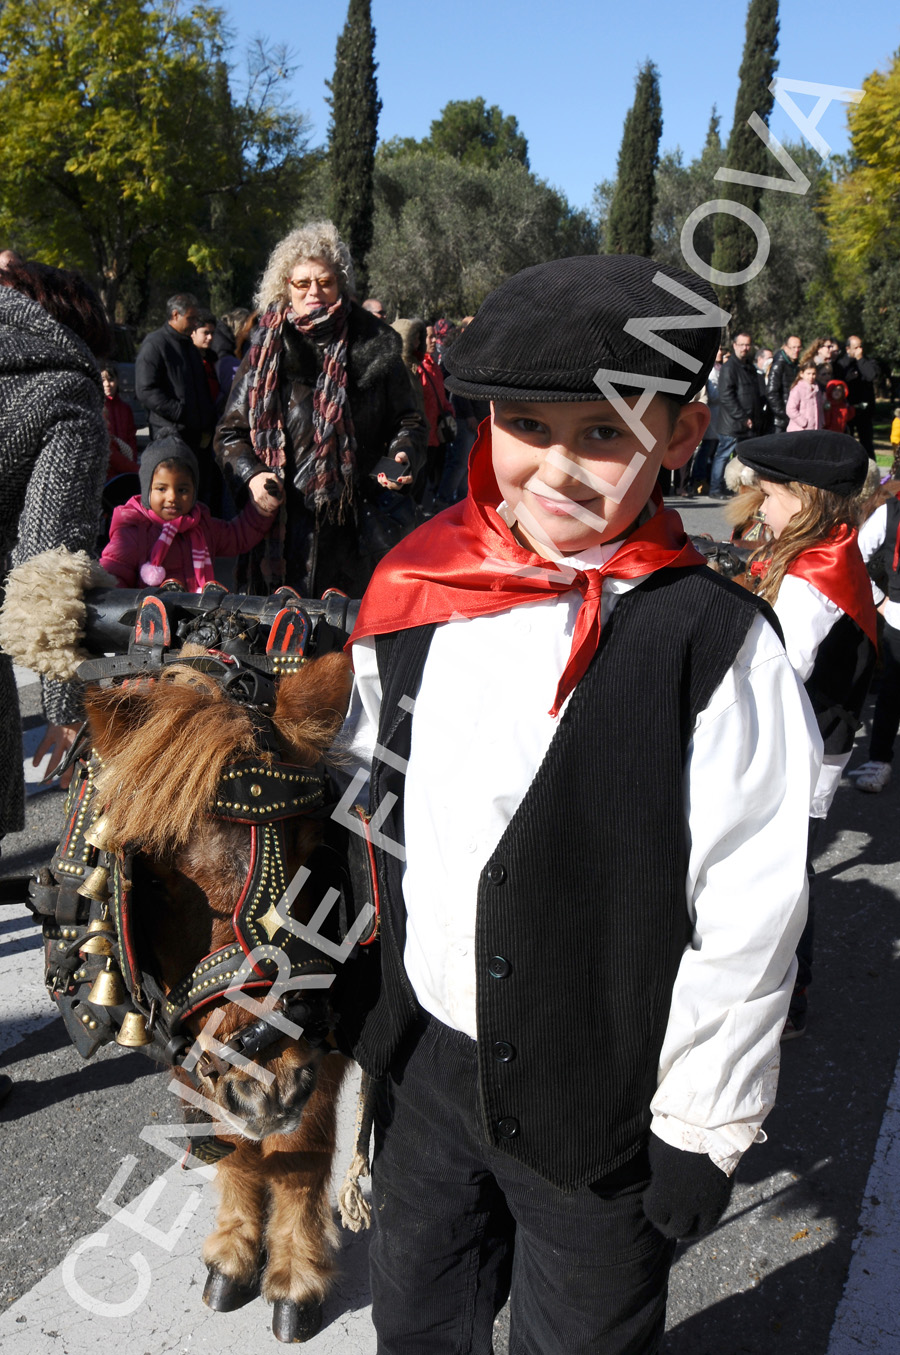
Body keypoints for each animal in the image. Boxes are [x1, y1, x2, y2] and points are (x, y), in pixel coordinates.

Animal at [80, 647, 355, 1344]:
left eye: (314, 850)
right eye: (156, 877)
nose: (265, 1079)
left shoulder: (323, 1043)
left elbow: (301, 1151)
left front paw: (294, 1275)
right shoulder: (181, 1031)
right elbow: (232, 1149)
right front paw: (232, 1255)